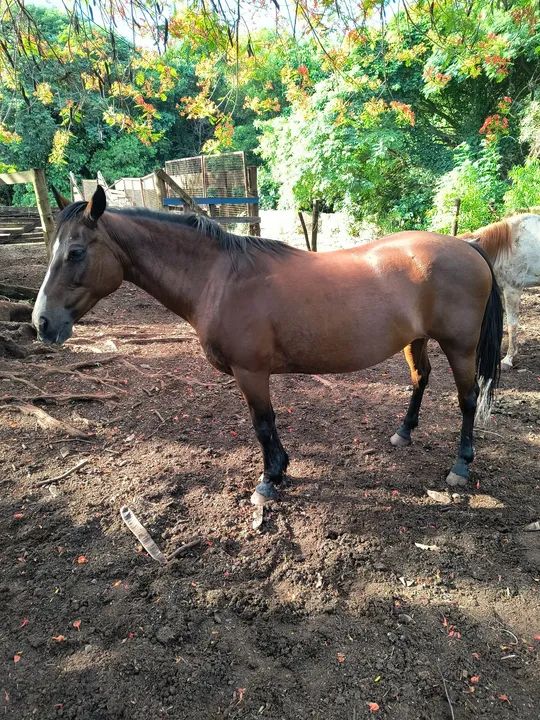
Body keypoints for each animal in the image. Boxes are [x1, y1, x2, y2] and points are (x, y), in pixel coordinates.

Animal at [33, 186, 503, 503]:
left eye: (75, 252)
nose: (42, 322)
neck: (220, 278)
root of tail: (469, 246)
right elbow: (266, 424)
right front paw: (279, 472)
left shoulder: (251, 372)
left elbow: (262, 423)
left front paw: (270, 479)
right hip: (415, 339)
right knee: (420, 378)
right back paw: (403, 433)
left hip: (460, 347)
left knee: (467, 399)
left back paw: (461, 465)